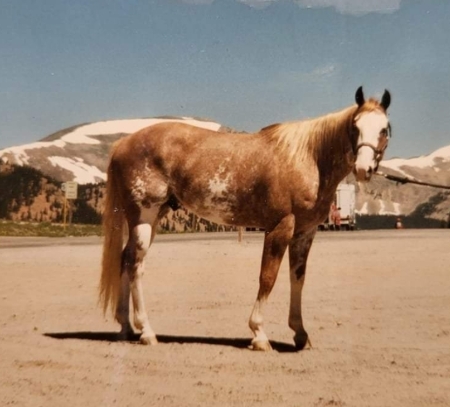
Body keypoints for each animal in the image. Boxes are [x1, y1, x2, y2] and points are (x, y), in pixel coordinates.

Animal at [98, 87, 390, 352]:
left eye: (385, 128)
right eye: (355, 126)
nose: (363, 169)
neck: (307, 158)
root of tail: (123, 144)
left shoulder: (305, 233)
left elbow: (297, 279)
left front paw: (300, 334)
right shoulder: (280, 227)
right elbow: (268, 277)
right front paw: (259, 333)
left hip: (149, 219)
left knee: (125, 260)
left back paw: (126, 327)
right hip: (144, 218)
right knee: (136, 265)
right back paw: (147, 331)